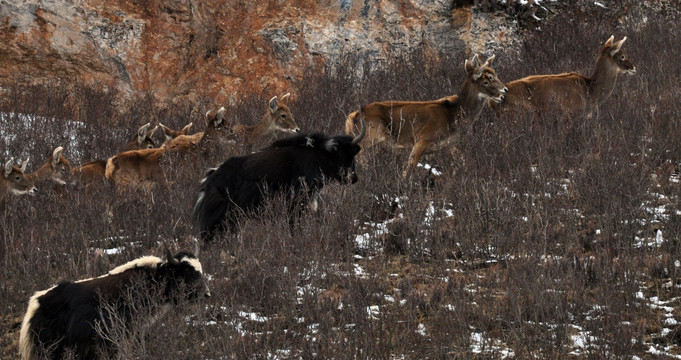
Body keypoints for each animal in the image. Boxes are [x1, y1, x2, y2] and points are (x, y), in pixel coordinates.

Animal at [346, 53, 504, 177]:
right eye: (486, 81)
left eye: (495, 75)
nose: (504, 92)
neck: (454, 117)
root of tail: (354, 116)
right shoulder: (423, 138)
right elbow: (408, 170)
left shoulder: (449, 145)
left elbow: (463, 162)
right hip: (368, 142)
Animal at [492, 35, 636, 117]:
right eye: (622, 56)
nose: (634, 67)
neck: (590, 93)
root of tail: (490, 102)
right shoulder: (571, 112)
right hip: (521, 112)